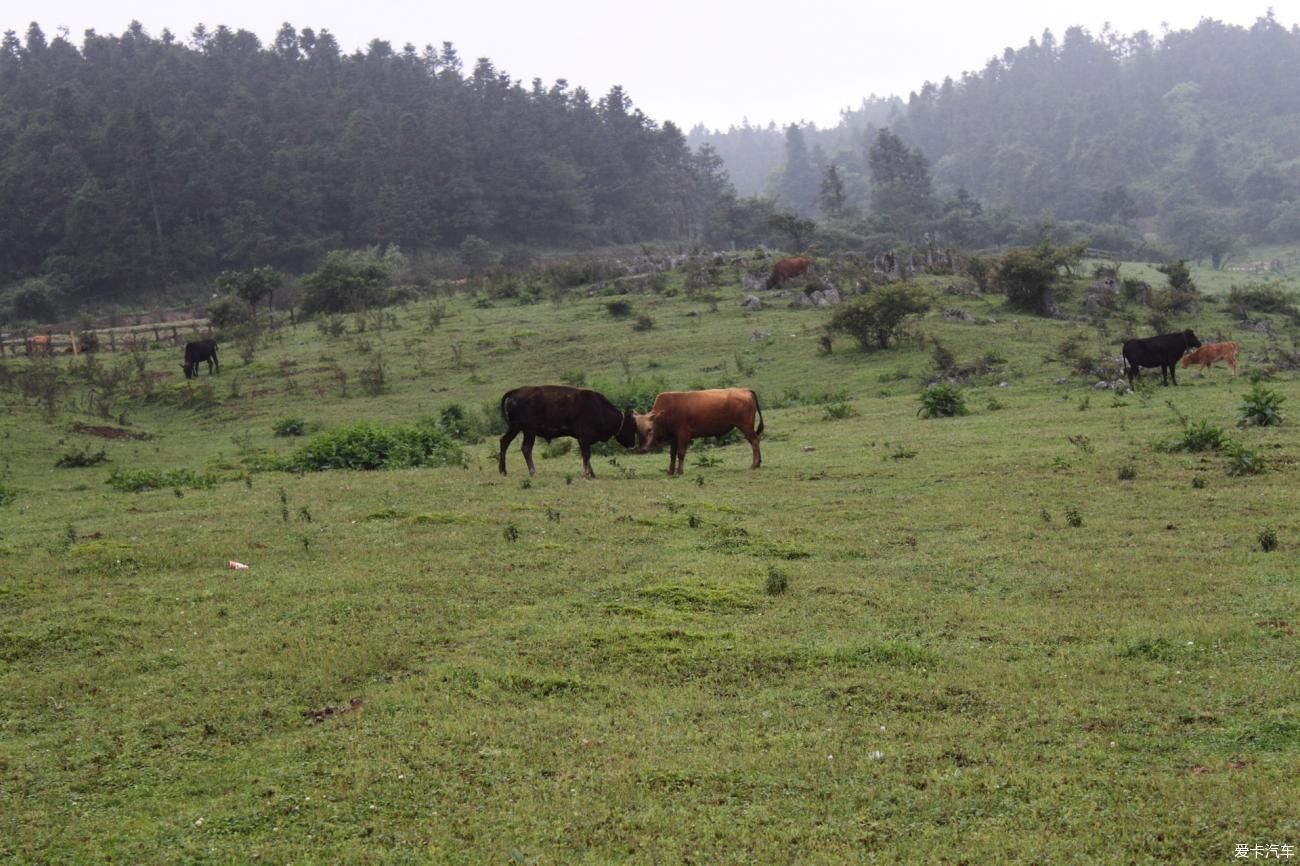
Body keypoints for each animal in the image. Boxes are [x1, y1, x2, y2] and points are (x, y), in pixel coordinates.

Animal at [493, 384, 637, 478]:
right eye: (631, 426)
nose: (633, 444)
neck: (598, 408)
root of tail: (515, 392)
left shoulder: (582, 440)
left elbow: (587, 456)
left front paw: (592, 473)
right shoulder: (584, 438)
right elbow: (586, 455)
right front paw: (587, 474)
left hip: (515, 428)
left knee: (504, 442)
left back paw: (503, 471)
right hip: (529, 431)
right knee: (526, 448)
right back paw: (533, 472)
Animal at [629, 387, 759, 475]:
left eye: (649, 430)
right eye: (637, 431)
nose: (641, 449)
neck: (667, 412)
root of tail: (745, 390)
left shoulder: (683, 435)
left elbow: (681, 453)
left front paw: (679, 471)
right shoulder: (673, 438)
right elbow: (672, 455)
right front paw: (670, 471)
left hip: (745, 426)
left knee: (754, 442)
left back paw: (755, 465)